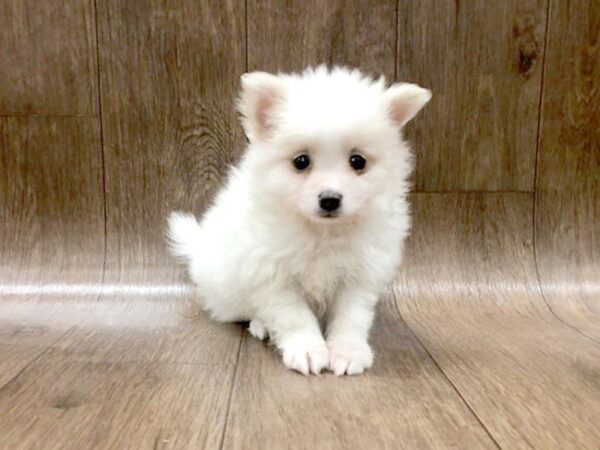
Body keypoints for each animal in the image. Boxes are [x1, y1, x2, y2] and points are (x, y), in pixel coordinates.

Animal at [169, 66, 432, 376]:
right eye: (301, 161)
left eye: (358, 161)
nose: (330, 199)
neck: (321, 231)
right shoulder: (271, 274)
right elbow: (294, 317)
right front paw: (307, 350)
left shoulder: (359, 275)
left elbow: (351, 318)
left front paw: (348, 352)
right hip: (227, 289)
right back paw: (262, 326)